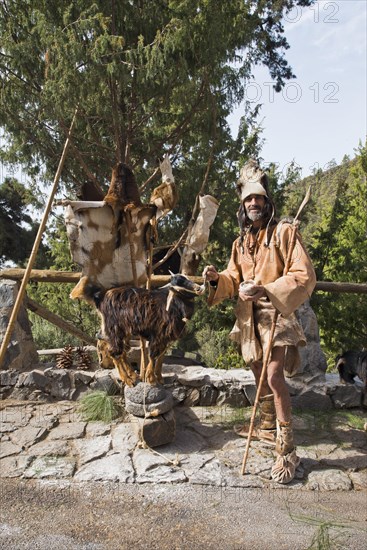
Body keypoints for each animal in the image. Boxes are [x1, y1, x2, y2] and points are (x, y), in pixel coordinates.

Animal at [70, 274, 206, 386]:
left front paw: (159, 377)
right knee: (115, 352)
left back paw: (132, 375)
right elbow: (153, 355)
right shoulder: (157, 335)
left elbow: (161, 356)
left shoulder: (165, 338)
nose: (199, 288)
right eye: (180, 283)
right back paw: (128, 380)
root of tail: (101, 297)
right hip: (115, 329)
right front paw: (151, 379)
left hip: (122, 331)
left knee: (121, 350)